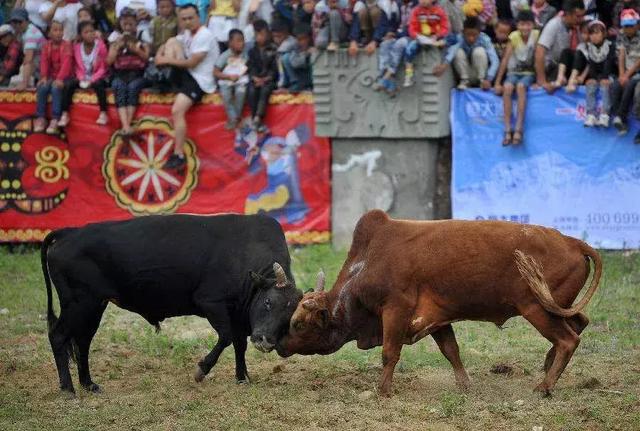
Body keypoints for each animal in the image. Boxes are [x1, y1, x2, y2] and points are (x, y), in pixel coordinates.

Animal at [42, 214, 302, 394]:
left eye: (289, 318)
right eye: (267, 302)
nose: (266, 341)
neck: (245, 251)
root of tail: (70, 232)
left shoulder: (238, 314)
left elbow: (239, 344)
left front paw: (242, 377)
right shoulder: (212, 303)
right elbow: (227, 337)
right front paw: (201, 370)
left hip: (94, 306)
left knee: (82, 342)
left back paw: (88, 384)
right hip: (78, 304)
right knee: (58, 336)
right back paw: (68, 388)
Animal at [278, 211, 604, 396]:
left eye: (298, 323)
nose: (278, 344)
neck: (369, 261)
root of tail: (572, 241)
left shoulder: (395, 309)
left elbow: (389, 353)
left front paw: (383, 391)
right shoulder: (437, 319)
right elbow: (451, 351)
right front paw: (465, 385)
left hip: (536, 309)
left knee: (568, 339)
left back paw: (545, 386)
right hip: (555, 307)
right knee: (580, 322)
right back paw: (548, 366)